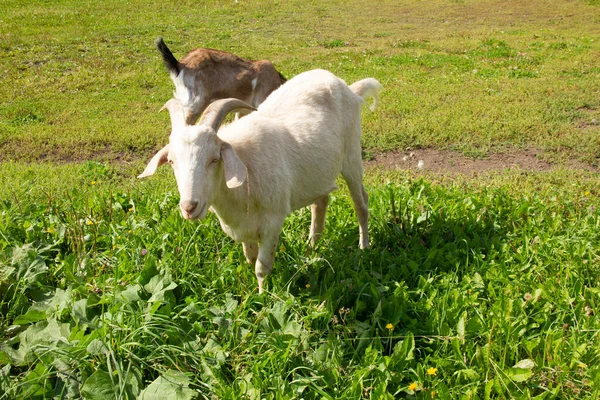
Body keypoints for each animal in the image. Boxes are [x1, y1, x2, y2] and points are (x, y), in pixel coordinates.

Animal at [139, 69, 382, 294]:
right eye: (171, 161)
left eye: (214, 159)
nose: (189, 207)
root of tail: (348, 87)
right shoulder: (244, 227)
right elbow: (250, 257)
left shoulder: (272, 223)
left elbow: (262, 267)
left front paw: (262, 297)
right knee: (320, 203)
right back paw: (311, 248)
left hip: (352, 156)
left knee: (361, 203)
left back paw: (364, 247)